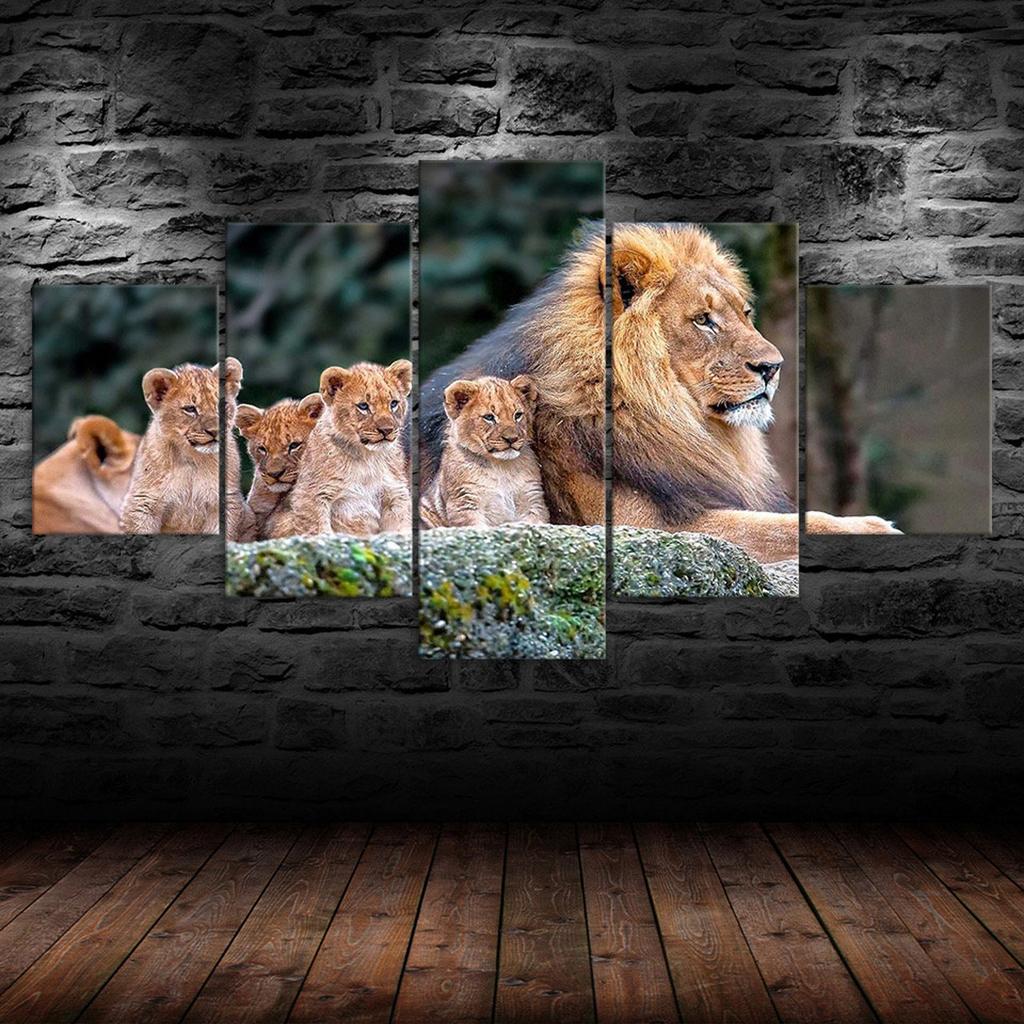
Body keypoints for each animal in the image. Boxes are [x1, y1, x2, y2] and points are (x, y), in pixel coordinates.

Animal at [120, 357, 248, 536]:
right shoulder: (143, 502)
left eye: (222, 406)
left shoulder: (225, 501)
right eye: (190, 409)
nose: (215, 431)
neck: (192, 458)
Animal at [268, 359, 412, 538]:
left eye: (393, 404)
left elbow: (401, 525)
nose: (386, 430)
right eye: (363, 406)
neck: (367, 458)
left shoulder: (395, 494)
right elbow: (318, 529)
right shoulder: (311, 495)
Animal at [420, 374, 550, 528]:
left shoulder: (532, 500)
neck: (501, 467)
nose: (511, 439)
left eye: (518, 415)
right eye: (489, 417)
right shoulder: (465, 503)